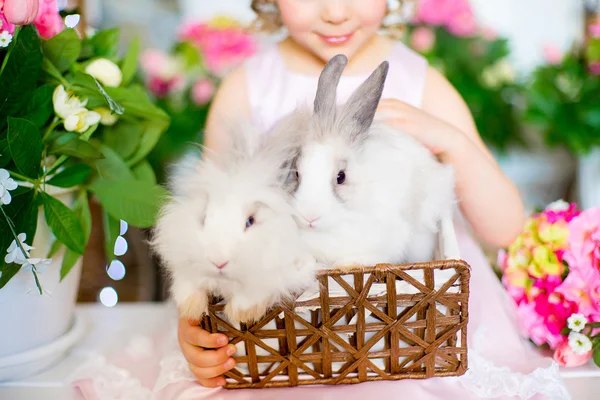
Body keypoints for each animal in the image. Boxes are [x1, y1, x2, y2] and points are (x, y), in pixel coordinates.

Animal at [150, 125, 318, 324]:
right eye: (204, 217)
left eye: (250, 221)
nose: (218, 262)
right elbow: (187, 283)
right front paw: (191, 308)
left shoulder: (284, 274)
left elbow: (258, 290)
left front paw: (241, 313)